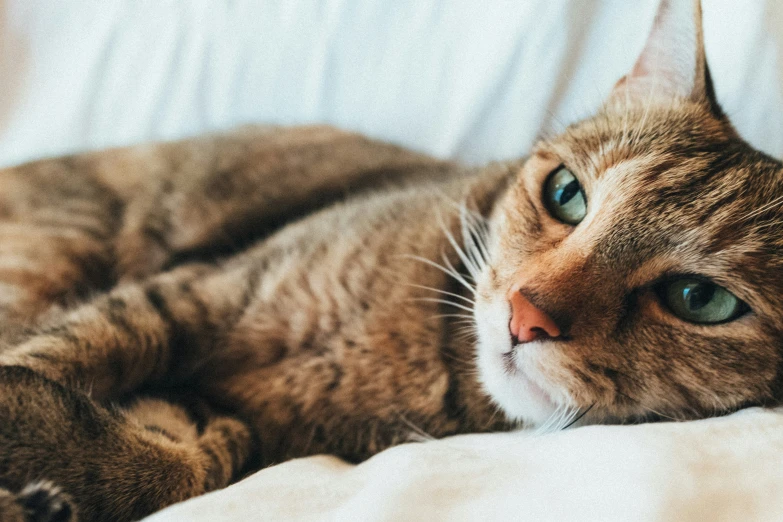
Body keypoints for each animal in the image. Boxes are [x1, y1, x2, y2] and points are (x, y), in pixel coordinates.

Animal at [1, 1, 783, 520]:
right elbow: (68, 349)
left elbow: (172, 466)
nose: (524, 315)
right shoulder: (196, 292)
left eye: (699, 301)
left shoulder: (220, 418)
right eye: (566, 194)